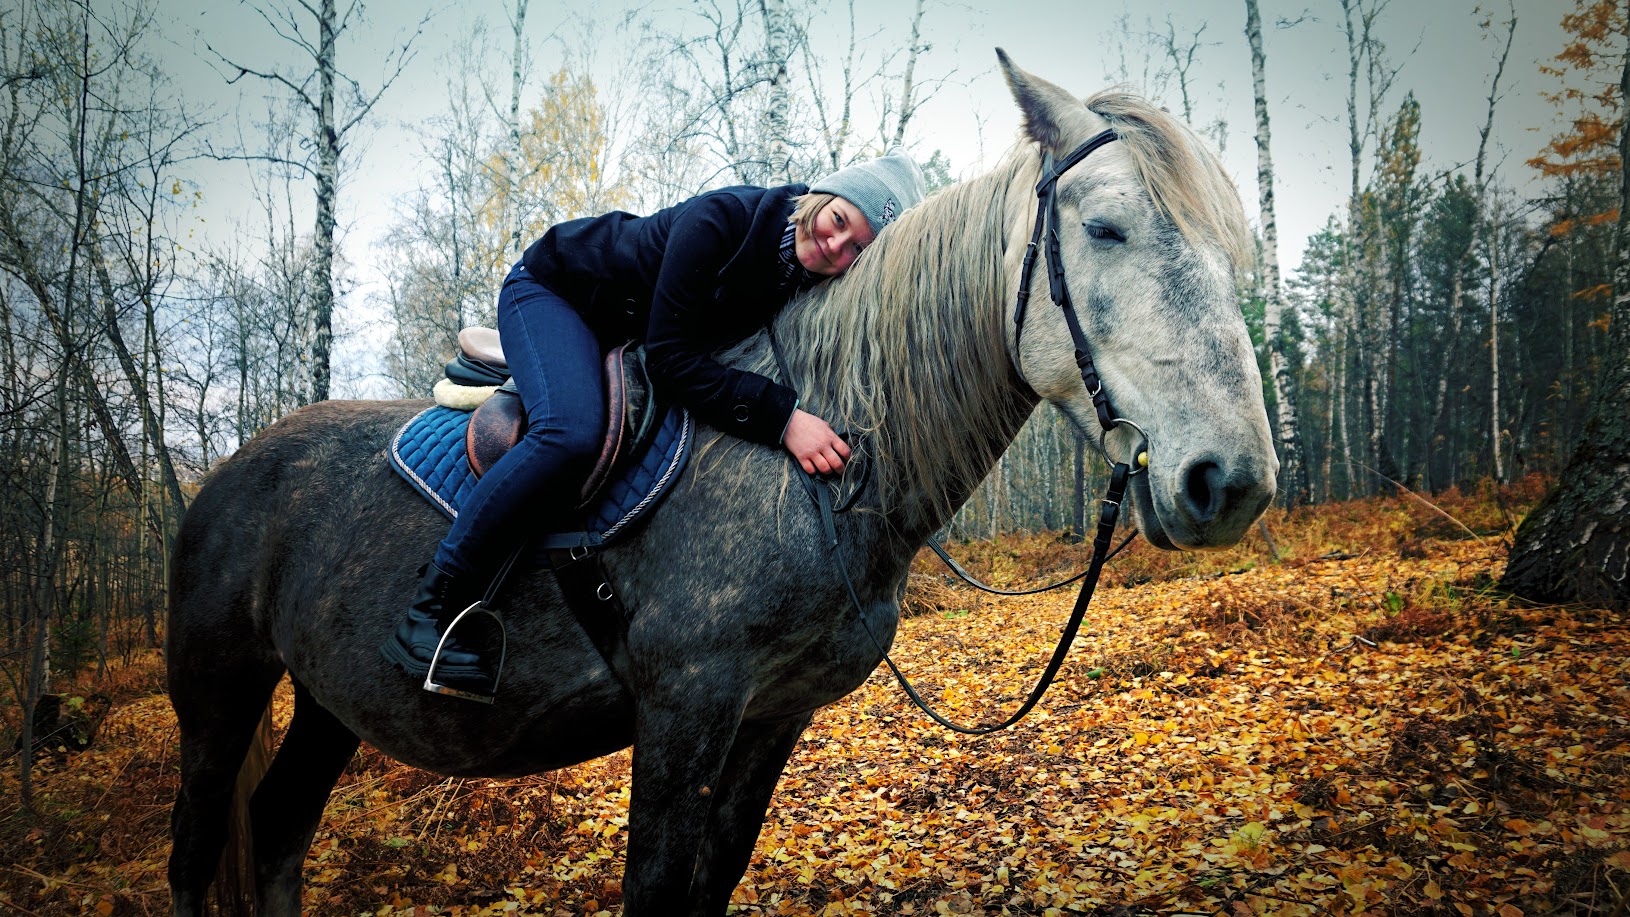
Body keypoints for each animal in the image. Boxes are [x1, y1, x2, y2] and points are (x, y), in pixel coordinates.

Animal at [165, 51, 1278, 916]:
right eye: (1106, 229)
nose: (1230, 481)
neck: (809, 474)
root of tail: (221, 474)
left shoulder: (773, 716)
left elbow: (712, 880)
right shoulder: (684, 707)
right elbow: (657, 888)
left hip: (327, 699)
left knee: (277, 830)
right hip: (218, 687)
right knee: (196, 852)